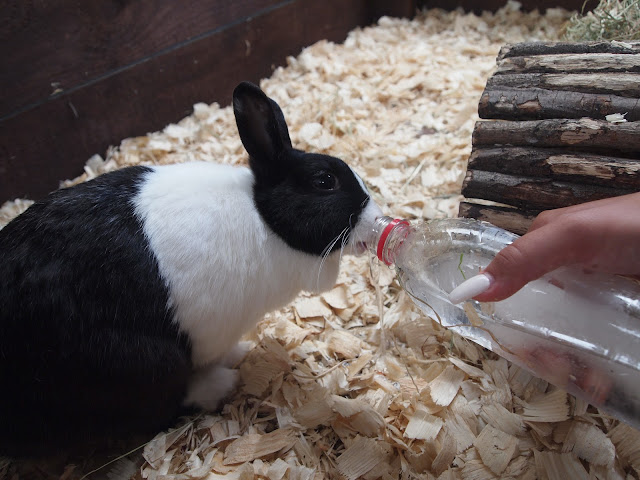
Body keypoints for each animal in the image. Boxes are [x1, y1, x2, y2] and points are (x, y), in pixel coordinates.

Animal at [0, 80, 380, 456]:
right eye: (324, 181)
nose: (377, 218)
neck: (265, 219)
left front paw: (239, 352)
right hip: (144, 363)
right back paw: (220, 384)